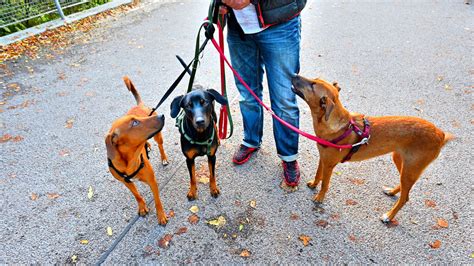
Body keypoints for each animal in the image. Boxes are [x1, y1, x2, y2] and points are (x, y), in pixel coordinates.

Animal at [106, 77, 169, 224]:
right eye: (135, 123)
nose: (162, 116)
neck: (129, 161)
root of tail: (140, 105)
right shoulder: (126, 182)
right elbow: (137, 195)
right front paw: (142, 207)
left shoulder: (152, 181)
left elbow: (157, 200)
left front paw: (161, 215)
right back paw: (148, 146)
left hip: (158, 137)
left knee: (161, 146)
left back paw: (163, 158)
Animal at [292, 74, 452, 222]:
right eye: (314, 79)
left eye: (313, 85)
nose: (293, 74)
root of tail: (440, 134)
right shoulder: (323, 159)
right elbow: (318, 174)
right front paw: (314, 184)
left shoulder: (329, 165)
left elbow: (325, 184)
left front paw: (319, 197)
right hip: (402, 162)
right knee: (404, 189)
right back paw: (392, 192)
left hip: (410, 169)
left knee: (405, 198)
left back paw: (388, 216)